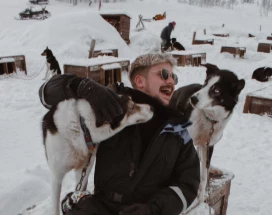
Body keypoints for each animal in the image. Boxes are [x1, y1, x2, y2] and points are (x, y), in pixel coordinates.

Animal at [170, 63, 244, 202]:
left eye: (216, 90)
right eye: (205, 84)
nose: (192, 99)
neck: (209, 119)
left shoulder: (208, 145)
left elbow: (203, 174)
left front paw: (201, 195)